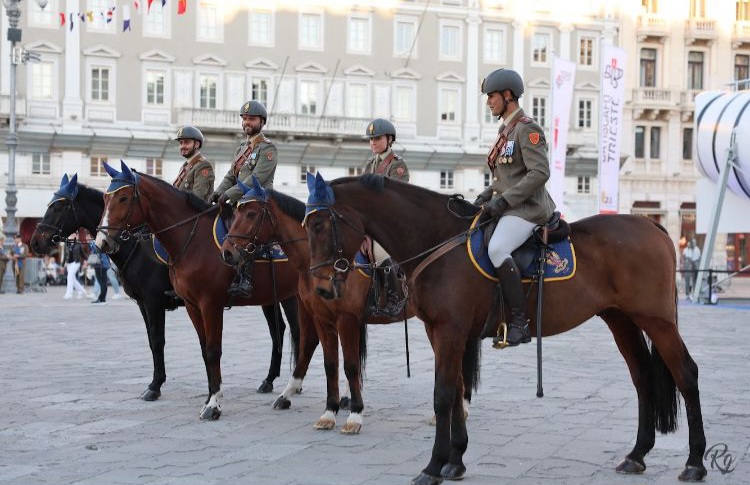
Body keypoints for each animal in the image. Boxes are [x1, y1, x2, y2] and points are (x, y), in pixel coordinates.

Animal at [29, 174, 297, 402]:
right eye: (105, 201)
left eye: (57, 207)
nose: (35, 242)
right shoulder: (146, 304)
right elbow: (157, 342)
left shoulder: (155, 302)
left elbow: (159, 341)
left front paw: (155, 386)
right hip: (269, 297)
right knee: (278, 331)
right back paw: (269, 380)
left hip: (290, 296)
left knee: (294, 330)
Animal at [94, 162, 300, 420]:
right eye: (104, 198)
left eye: (122, 198)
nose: (101, 242)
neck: (192, 241)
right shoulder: (191, 306)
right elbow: (203, 351)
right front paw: (209, 397)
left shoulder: (208, 304)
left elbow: (211, 350)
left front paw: (213, 404)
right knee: (282, 331)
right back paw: (275, 383)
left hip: (294, 297)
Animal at [219, 177, 480, 434]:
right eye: (237, 212)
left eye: (250, 213)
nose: (228, 252)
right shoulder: (320, 316)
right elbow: (329, 362)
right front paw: (329, 411)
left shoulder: (346, 318)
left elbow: (351, 365)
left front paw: (355, 414)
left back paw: (463, 407)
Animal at [303, 173, 706, 485]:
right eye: (307, 227)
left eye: (321, 225)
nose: (322, 288)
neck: (438, 240)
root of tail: (651, 223)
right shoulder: (441, 332)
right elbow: (457, 391)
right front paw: (455, 460)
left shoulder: (449, 331)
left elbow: (443, 395)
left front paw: (433, 466)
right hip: (620, 319)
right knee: (642, 377)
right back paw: (637, 454)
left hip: (656, 320)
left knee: (685, 374)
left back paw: (695, 461)